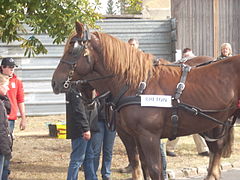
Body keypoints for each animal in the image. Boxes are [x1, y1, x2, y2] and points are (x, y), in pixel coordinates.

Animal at [52, 21, 238, 179]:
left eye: (72, 49)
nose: (55, 82)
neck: (137, 84)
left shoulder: (149, 136)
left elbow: (154, 169)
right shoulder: (135, 135)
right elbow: (142, 166)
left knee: (216, 150)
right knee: (215, 150)